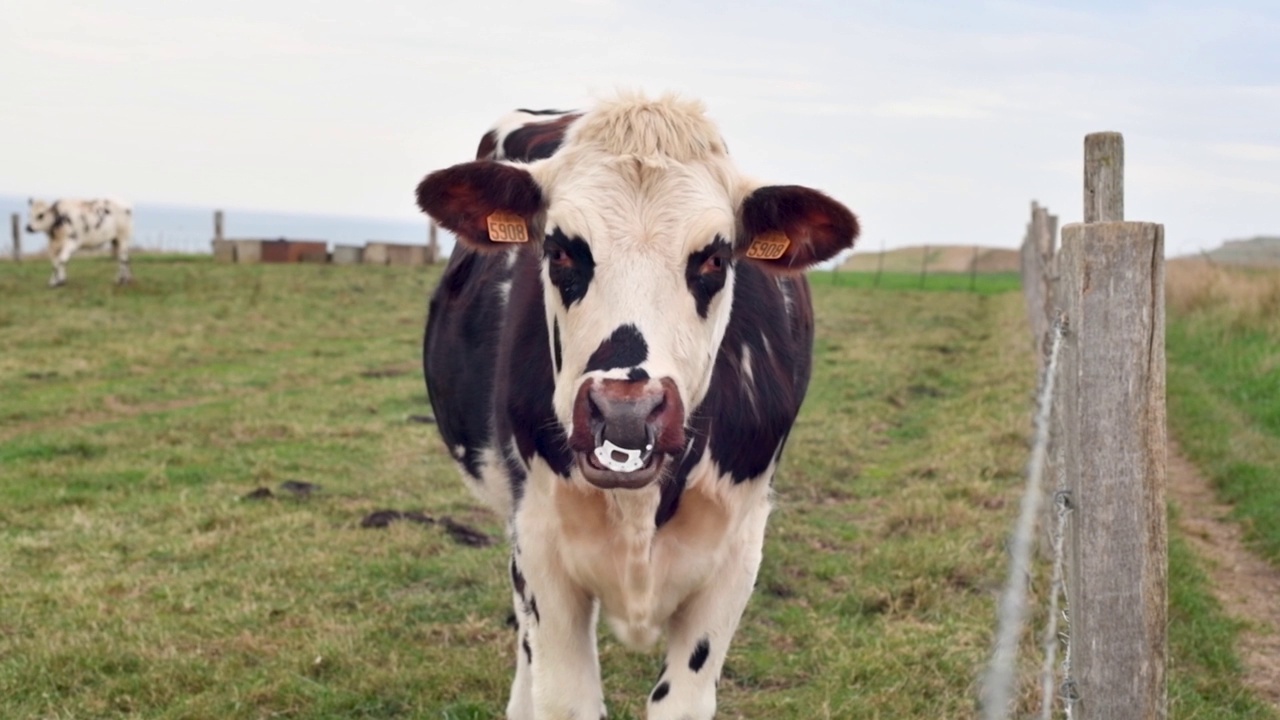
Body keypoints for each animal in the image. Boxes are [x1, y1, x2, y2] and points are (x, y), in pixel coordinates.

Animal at [417, 95, 860, 717]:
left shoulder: (738, 553)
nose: (625, 415)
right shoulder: (540, 546)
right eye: (560, 251)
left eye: (715, 259)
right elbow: (564, 696)